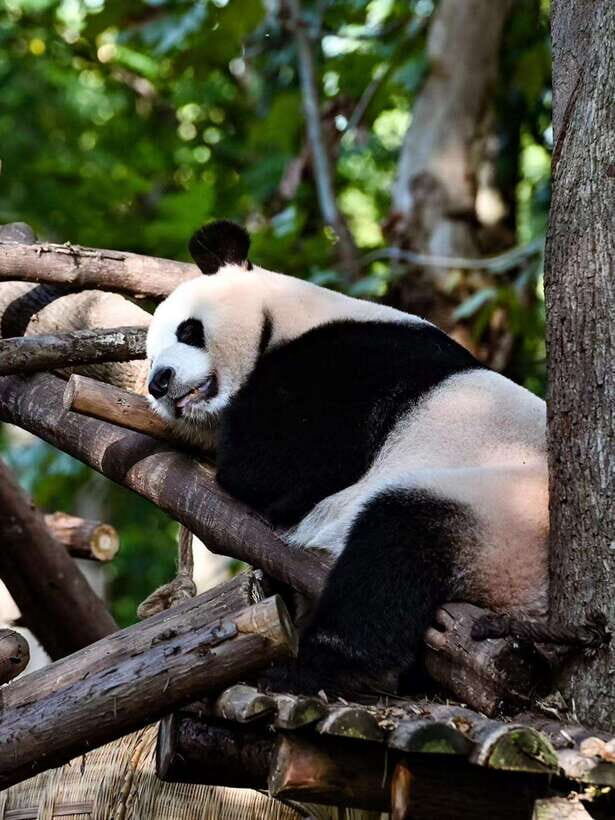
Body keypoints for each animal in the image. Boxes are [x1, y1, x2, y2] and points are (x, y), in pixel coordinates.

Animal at [146, 219, 548, 693]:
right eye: (148, 357)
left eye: (188, 331)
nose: (159, 381)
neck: (293, 312)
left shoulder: (348, 366)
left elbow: (274, 467)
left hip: (499, 512)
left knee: (391, 549)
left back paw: (321, 665)